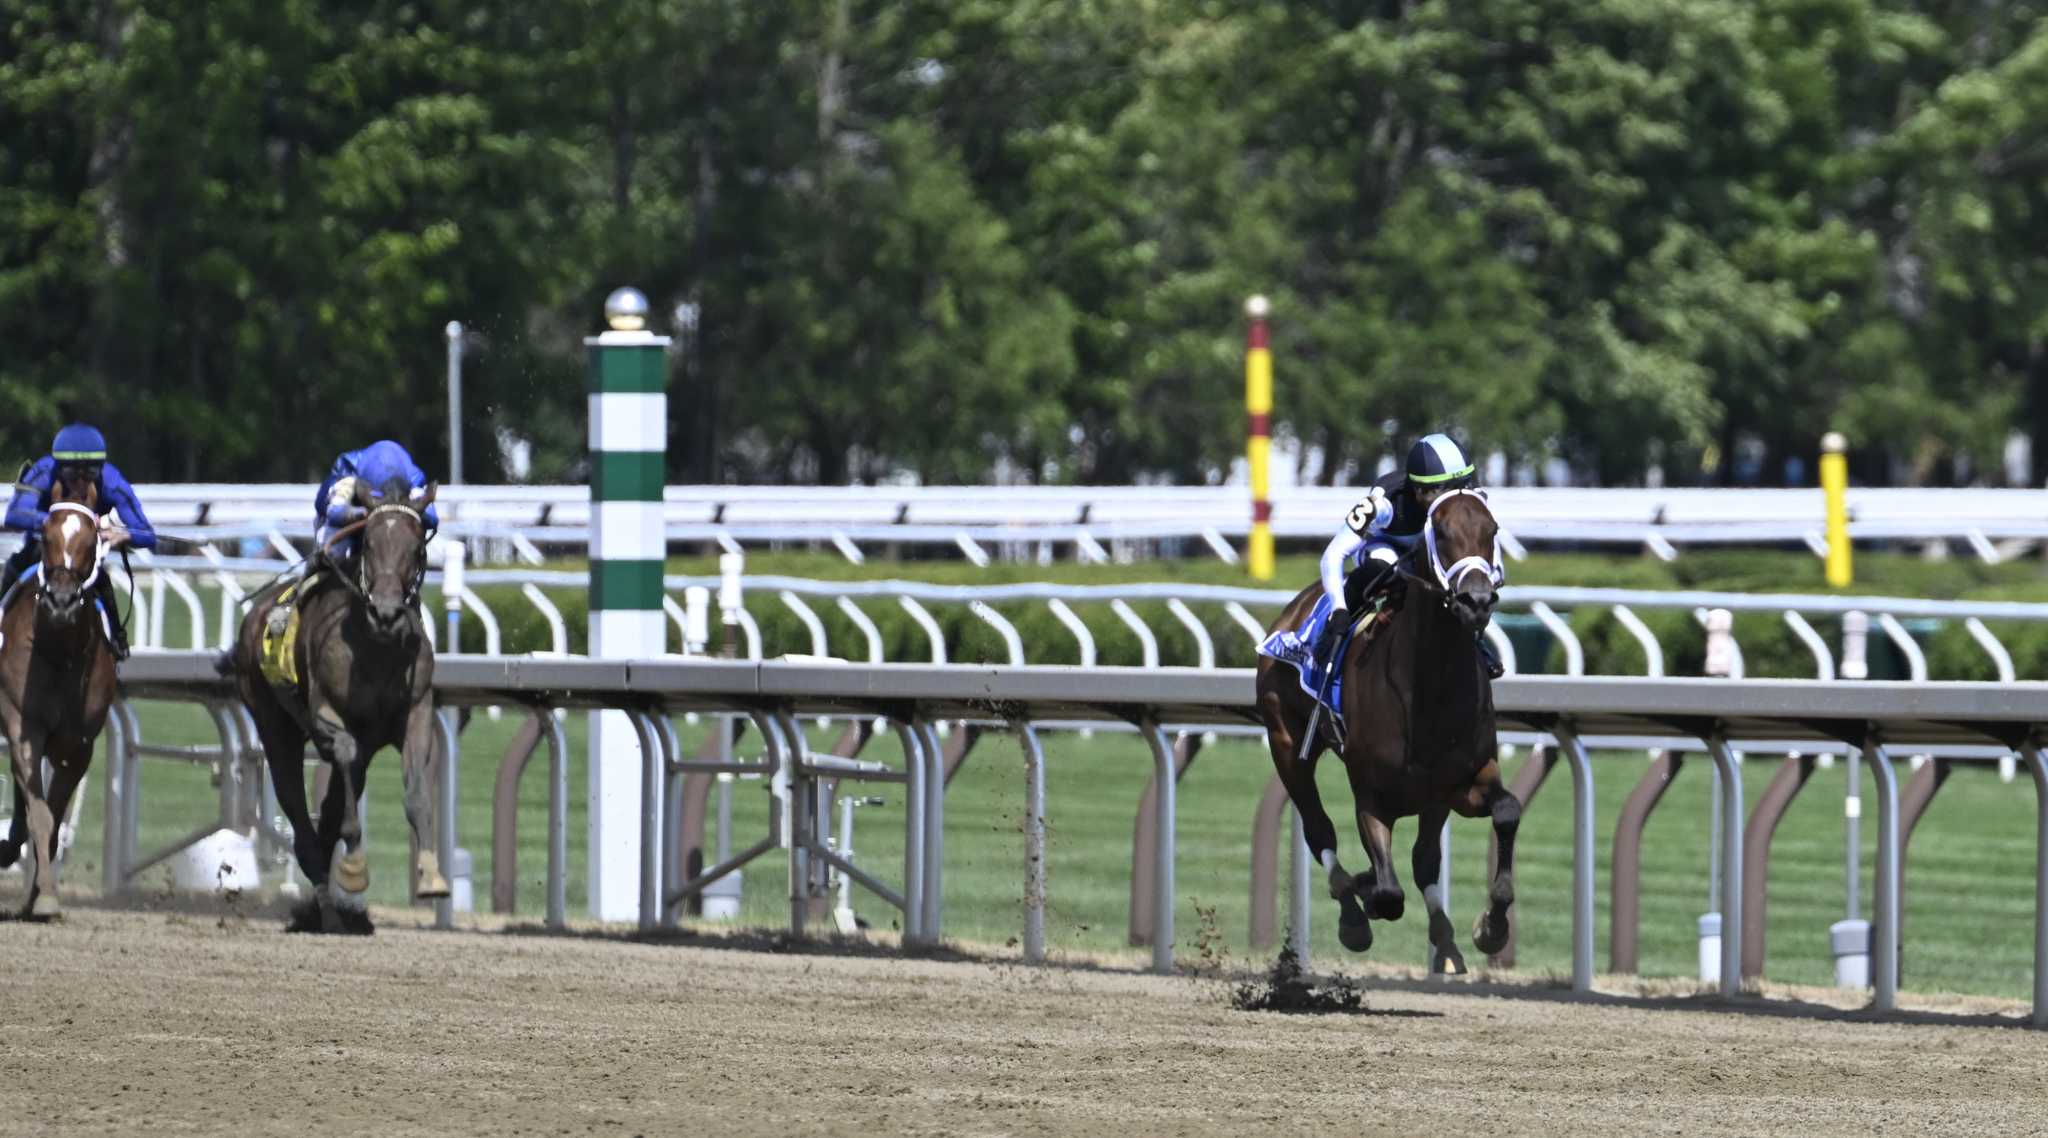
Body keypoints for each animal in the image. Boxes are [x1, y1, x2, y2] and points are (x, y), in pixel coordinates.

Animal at [0, 472, 121, 916]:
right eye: (47, 535)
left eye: (91, 540)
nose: (63, 602)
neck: (58, 651)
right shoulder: (22, 724)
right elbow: (41, 813)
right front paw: (45, 895)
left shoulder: (78, 744)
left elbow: (52, 818)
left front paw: (41, 894)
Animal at [226, 474, 442, 929]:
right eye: (370, 542)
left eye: (416, 548)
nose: (387, 613)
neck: (376, 647)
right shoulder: (325, 713)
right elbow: (341, 756)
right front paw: (355, 867)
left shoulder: (416, 711)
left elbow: (416, 792)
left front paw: (431, 875)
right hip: (273, 724)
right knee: (298, 809)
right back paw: (326, 911)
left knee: (328, 812)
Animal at [1245, 489, 1523, 970]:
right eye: (1441, 532)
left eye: (1491, 530)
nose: (1476, 600)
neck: (1430, 690)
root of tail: (1292, 611)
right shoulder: (1371, 795)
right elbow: (1389, 894)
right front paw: (1363, 900)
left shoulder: (1462, 782)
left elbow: (1506, 811)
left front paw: (1491, 927)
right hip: (1285, 743)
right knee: (1319, 831)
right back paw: (1352, 912)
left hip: (1433, 798)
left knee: (1424, 859)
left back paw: (1444, 937)